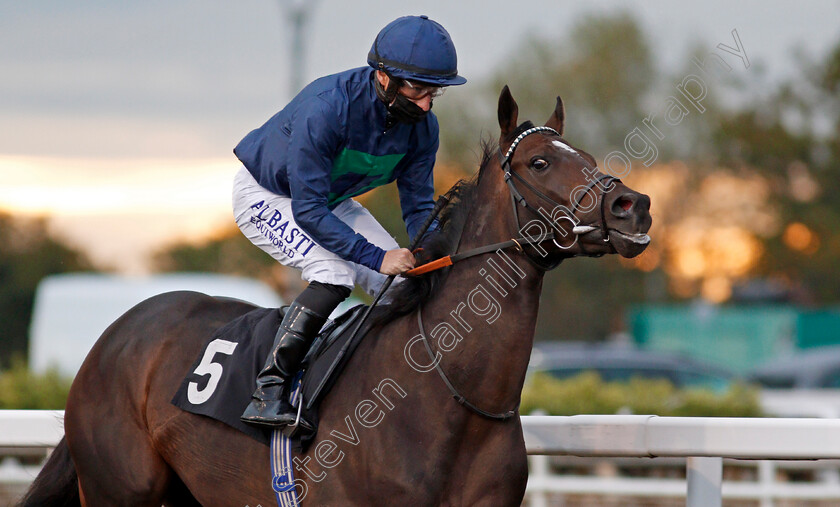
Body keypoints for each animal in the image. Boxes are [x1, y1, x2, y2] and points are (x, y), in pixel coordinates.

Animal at [18, 85, 648, 506]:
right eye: (539, 162)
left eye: (590, 160)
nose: (633, 205)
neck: (451, 397)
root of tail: (116, 335)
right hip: (119, 488)